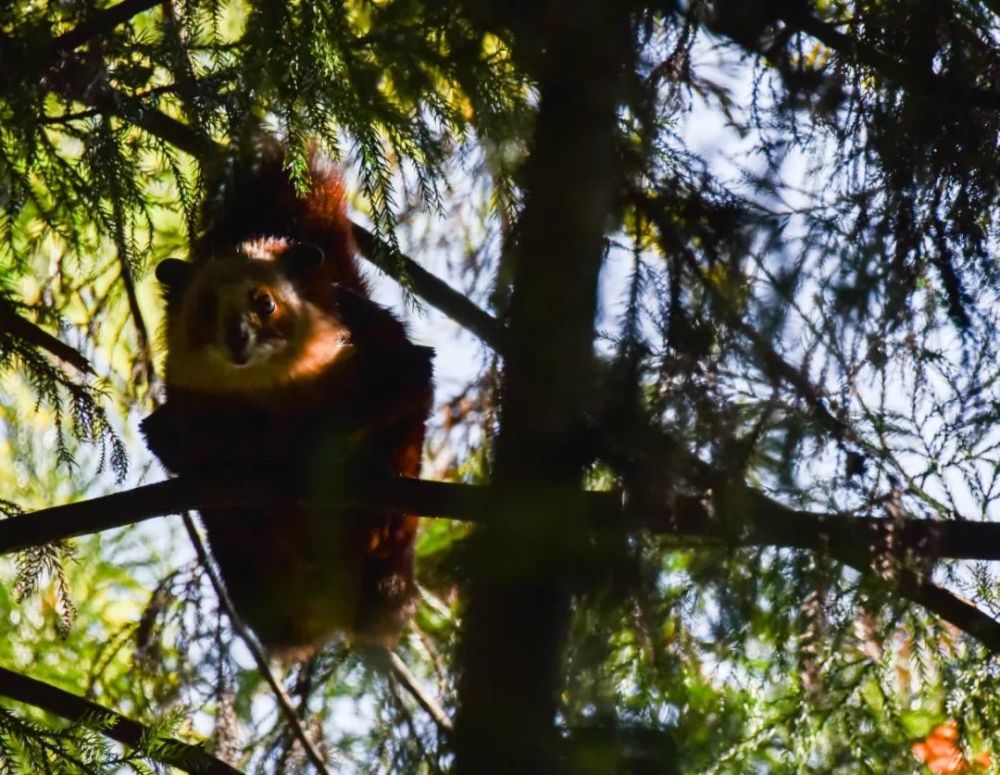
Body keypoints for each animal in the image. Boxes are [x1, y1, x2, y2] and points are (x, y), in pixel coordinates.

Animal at [142, 138, 434, 656]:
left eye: (265, 303)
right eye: (206, 309)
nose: (237, 337)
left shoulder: (390, 355)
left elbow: (405, 388)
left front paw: (329, 458)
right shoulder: (175, 410)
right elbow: (176, 447)